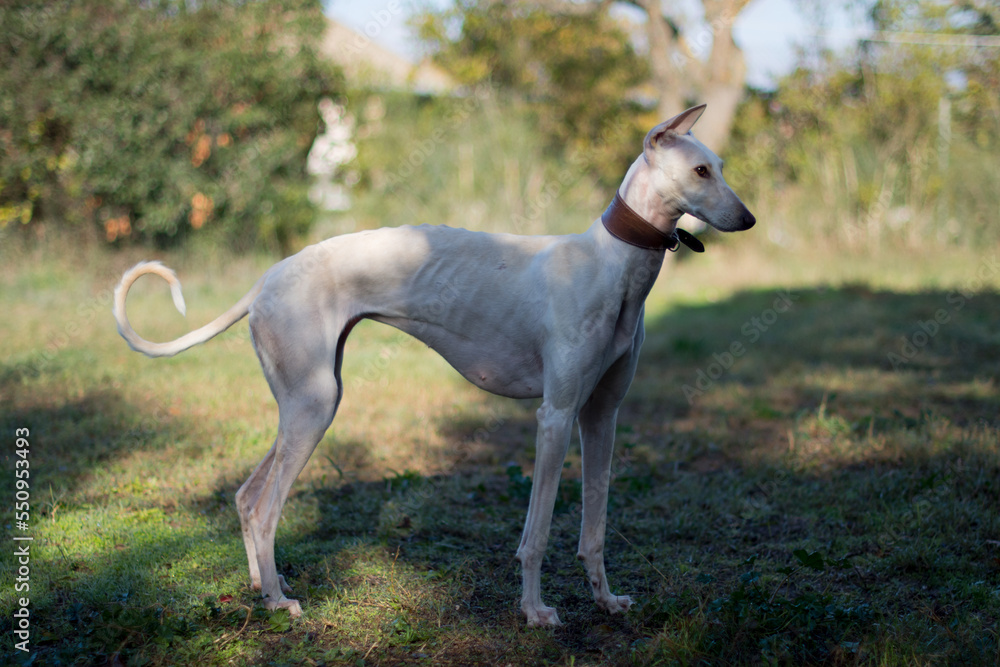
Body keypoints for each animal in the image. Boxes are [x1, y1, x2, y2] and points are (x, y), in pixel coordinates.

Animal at [113, 104, 752, 628]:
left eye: (720, 166)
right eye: (701, 171)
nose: (747, 220)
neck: (612, 262)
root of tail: (265, 279)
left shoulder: (602, 415)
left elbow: (593, 527)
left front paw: (605, 600)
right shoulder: (556, 414)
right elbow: (538, 531)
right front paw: (534, 611)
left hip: (307, 399)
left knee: (248, 497)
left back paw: (262, 586)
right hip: (314, 404)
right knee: (268, 508)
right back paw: (277, 602)